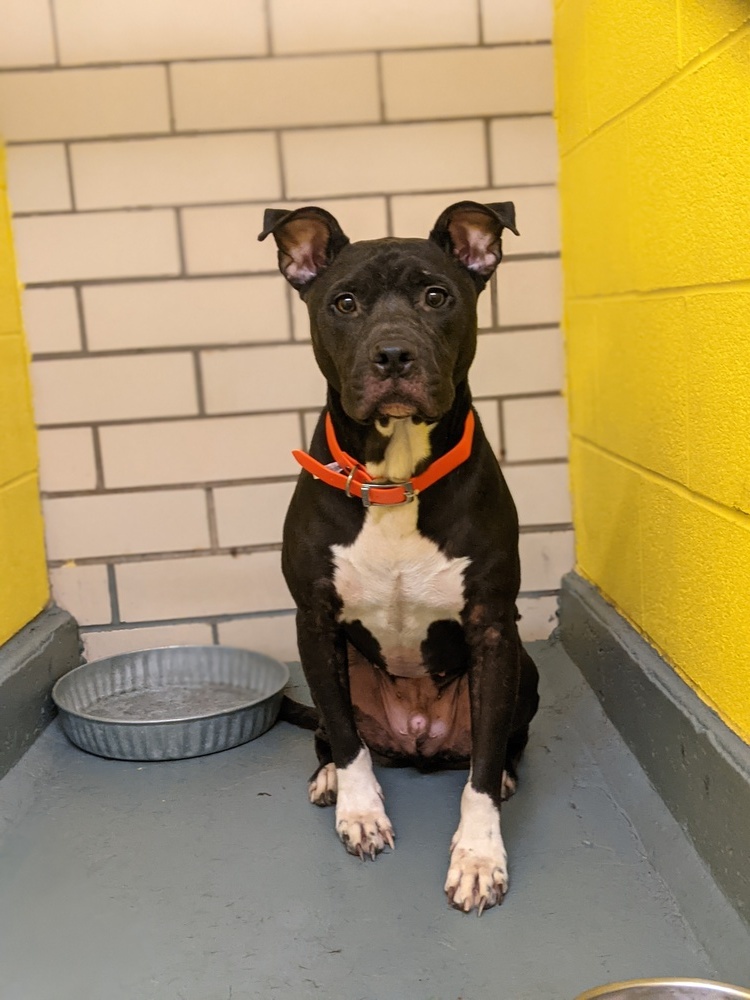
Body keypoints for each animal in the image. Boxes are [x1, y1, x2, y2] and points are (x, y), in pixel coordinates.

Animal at [258, 201, 540, 916]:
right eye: (345, 302)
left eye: (436, 296)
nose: (392, 354)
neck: (395, 477)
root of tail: (417, 739)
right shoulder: (314, 622)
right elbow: (346, 738)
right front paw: (360, 812)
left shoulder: (493, 628)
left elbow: (481, 771)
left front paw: (479, 855)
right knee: (334, 734)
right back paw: (330, 776)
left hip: (523, 667)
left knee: (500, 745)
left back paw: (508, 777)